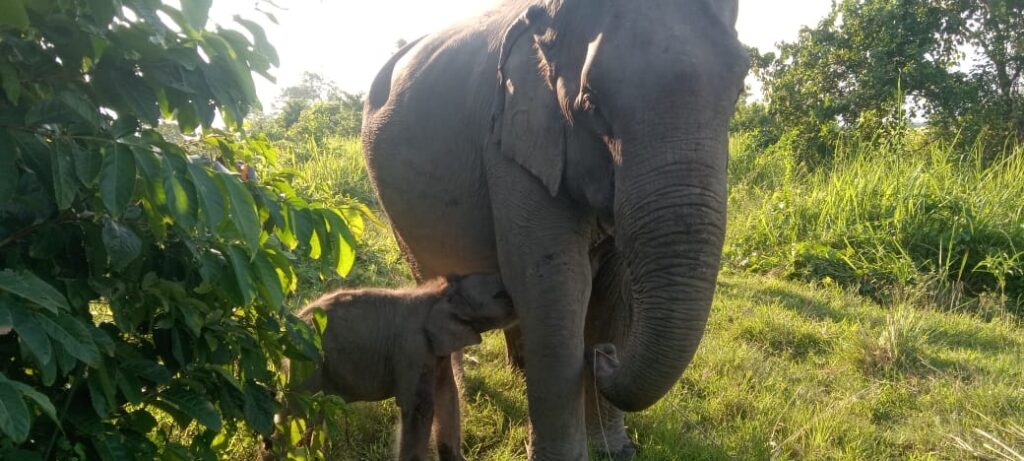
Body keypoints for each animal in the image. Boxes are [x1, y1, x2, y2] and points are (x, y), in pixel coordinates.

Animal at [277, 274, 516, 461]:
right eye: (500, 294)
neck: (438, 293)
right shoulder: (412, 349)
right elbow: (419, 407)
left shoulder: (435, 353)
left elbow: (447, 395)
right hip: (307, 363)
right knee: (300, 415)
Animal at [361, 0, 749, 458]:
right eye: (592, 105)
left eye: (739, 90)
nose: (604, 355)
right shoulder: (510, 144)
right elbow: (555, 284)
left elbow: (613, 289)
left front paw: (615, 449)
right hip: (392, 205)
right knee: (433, 281)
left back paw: (519, 371)